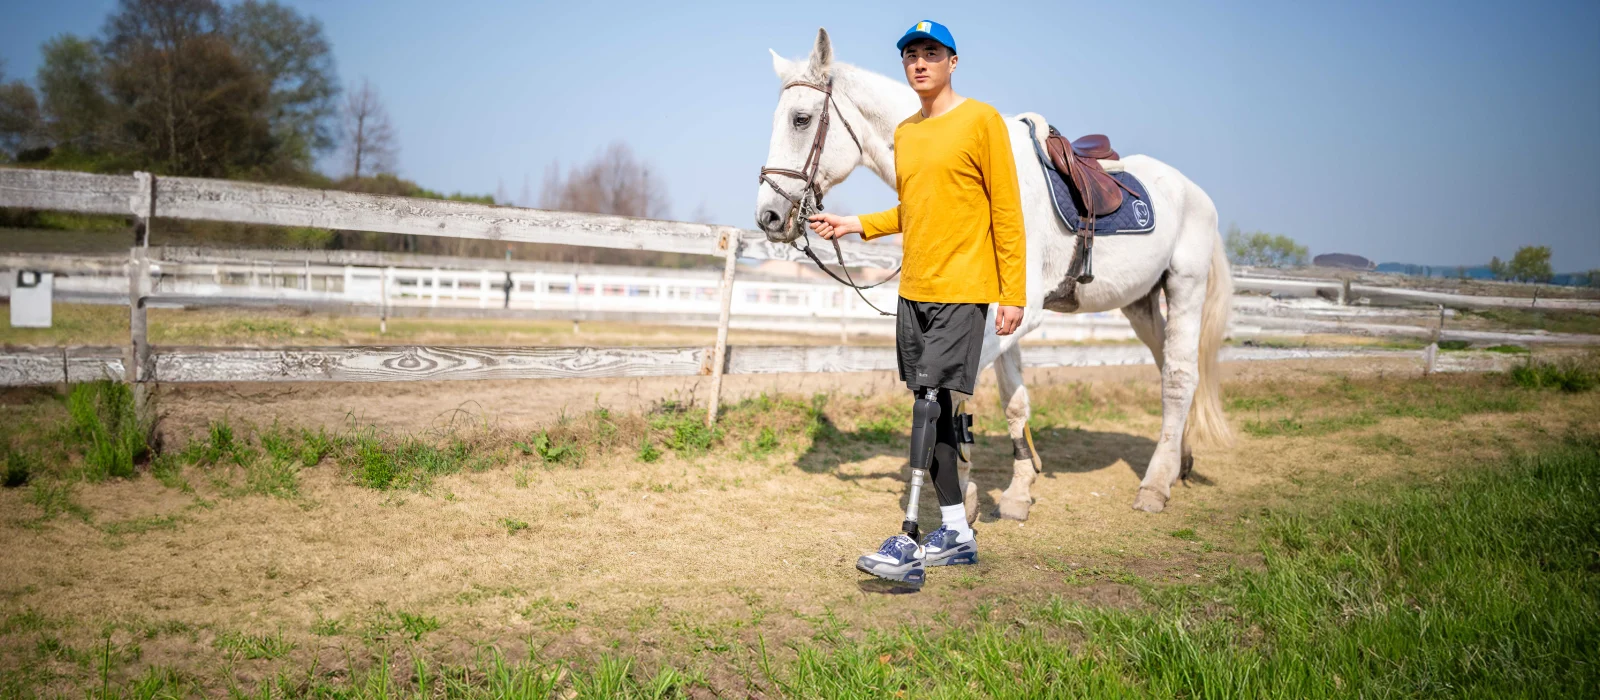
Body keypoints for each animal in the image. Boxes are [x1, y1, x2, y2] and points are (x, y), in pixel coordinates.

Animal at [755, 28, 1228, 514]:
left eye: (801, 119)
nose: (768, 216)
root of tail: (1195, 193)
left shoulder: (1022, 313)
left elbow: (952, 396)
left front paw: (965, 496)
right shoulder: (997, 314)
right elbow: (1012, 399)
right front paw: (1017, 492)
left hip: (1185, 287)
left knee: (1179, 377)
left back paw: (1154, 485)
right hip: (1140, 304)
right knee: (1168, 366)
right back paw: (1180, 461)